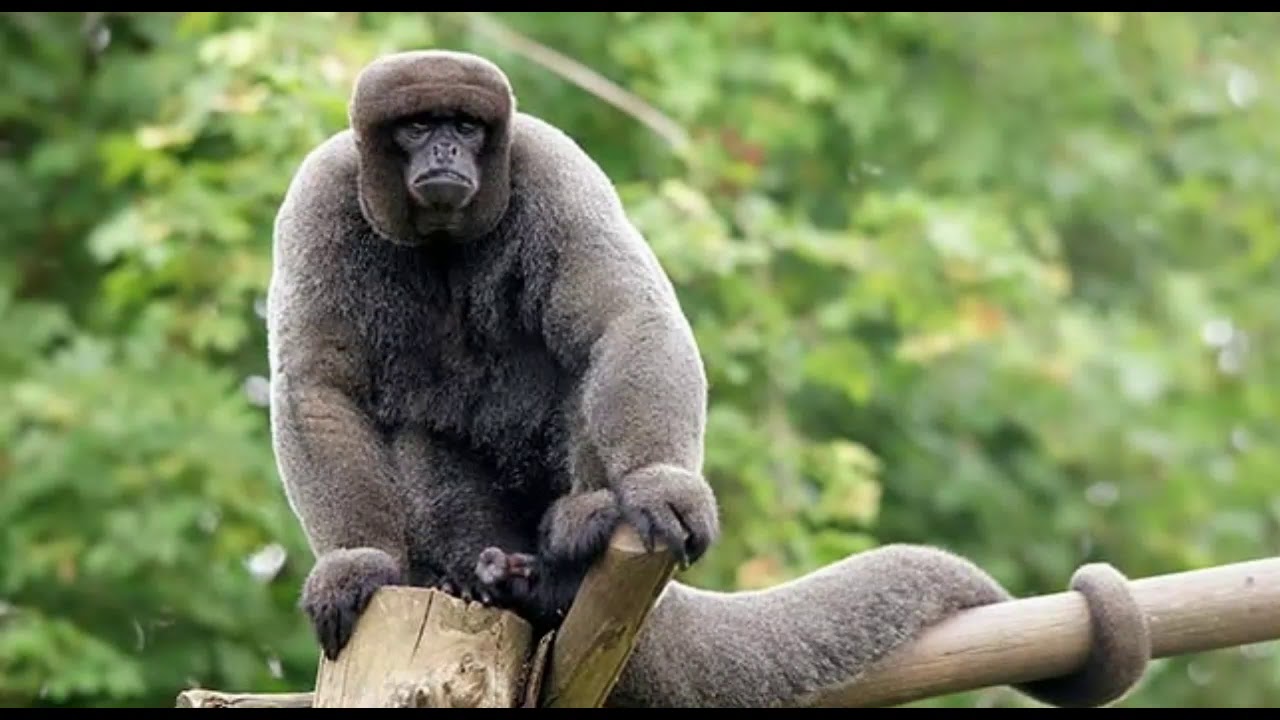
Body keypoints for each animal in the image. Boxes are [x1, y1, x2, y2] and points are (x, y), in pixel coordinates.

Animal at [267, 49, 1151, 707]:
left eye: (465, 127)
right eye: (419, 126)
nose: (447, 151)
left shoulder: (549, 166)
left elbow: (627, 321)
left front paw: (659, 487)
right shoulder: (318, 195)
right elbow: (316, 386)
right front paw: (359, 564)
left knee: (590, 373)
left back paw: (571, 552)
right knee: (421, 437)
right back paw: (489, 578)